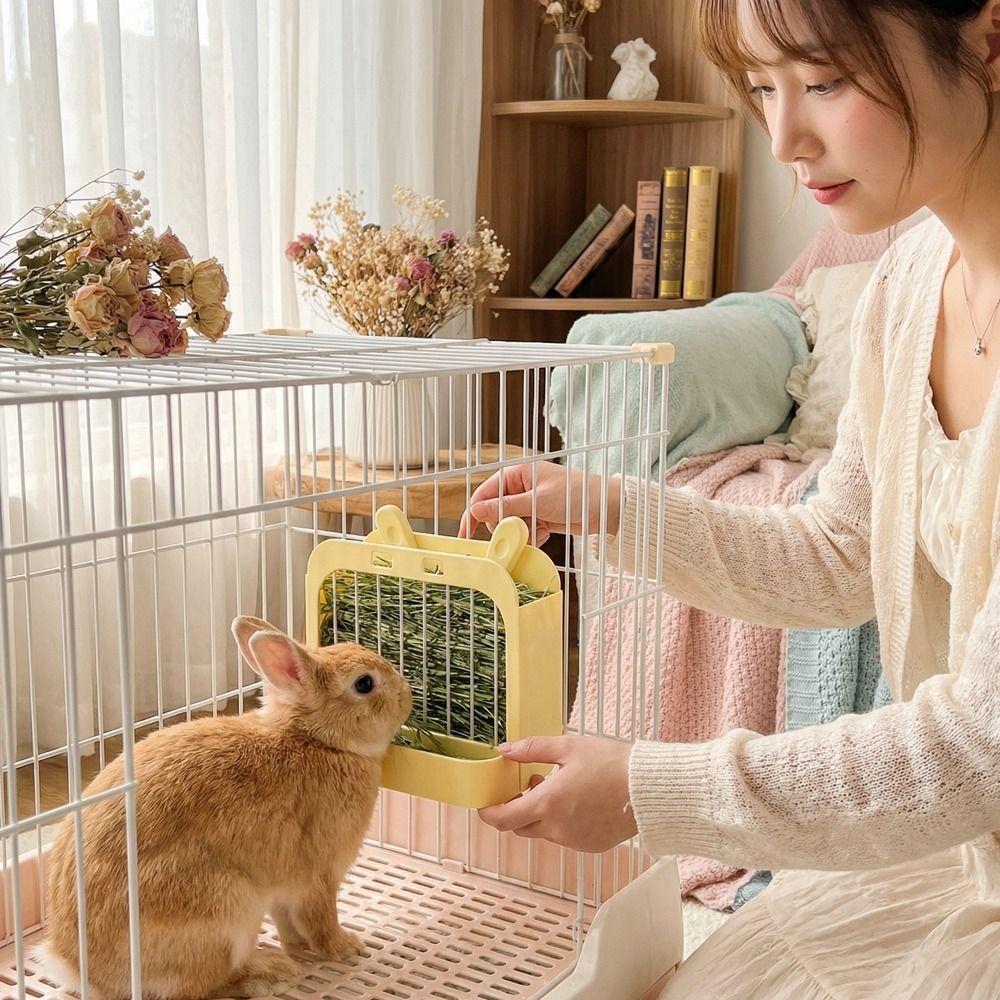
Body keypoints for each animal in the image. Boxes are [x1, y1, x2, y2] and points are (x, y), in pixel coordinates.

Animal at [43, 616, 412, 999]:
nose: (407, 693)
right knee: (199, 988)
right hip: (225, 909)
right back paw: (267, 973)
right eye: (365, 683)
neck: (320, 741)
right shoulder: (319, 875)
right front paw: (347, 947)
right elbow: (320, 919)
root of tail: (80, 970)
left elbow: (288, 921)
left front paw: (298, 947)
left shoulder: (283, 889)